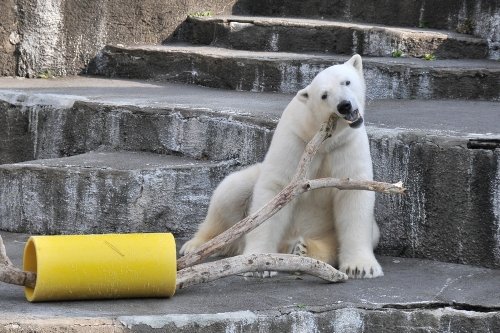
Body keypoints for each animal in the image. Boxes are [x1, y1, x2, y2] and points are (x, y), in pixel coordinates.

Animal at [181, 54, 382, 278]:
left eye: (346, 82)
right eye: (324, 95)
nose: (344, 105)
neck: (323, 140)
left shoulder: (346, 145)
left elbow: (353, 194)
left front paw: (360, 267)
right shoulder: (295, 139)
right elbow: (275, 190)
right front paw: (260, 263)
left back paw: (303, 249)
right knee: (230, 193)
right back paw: (196, 245)